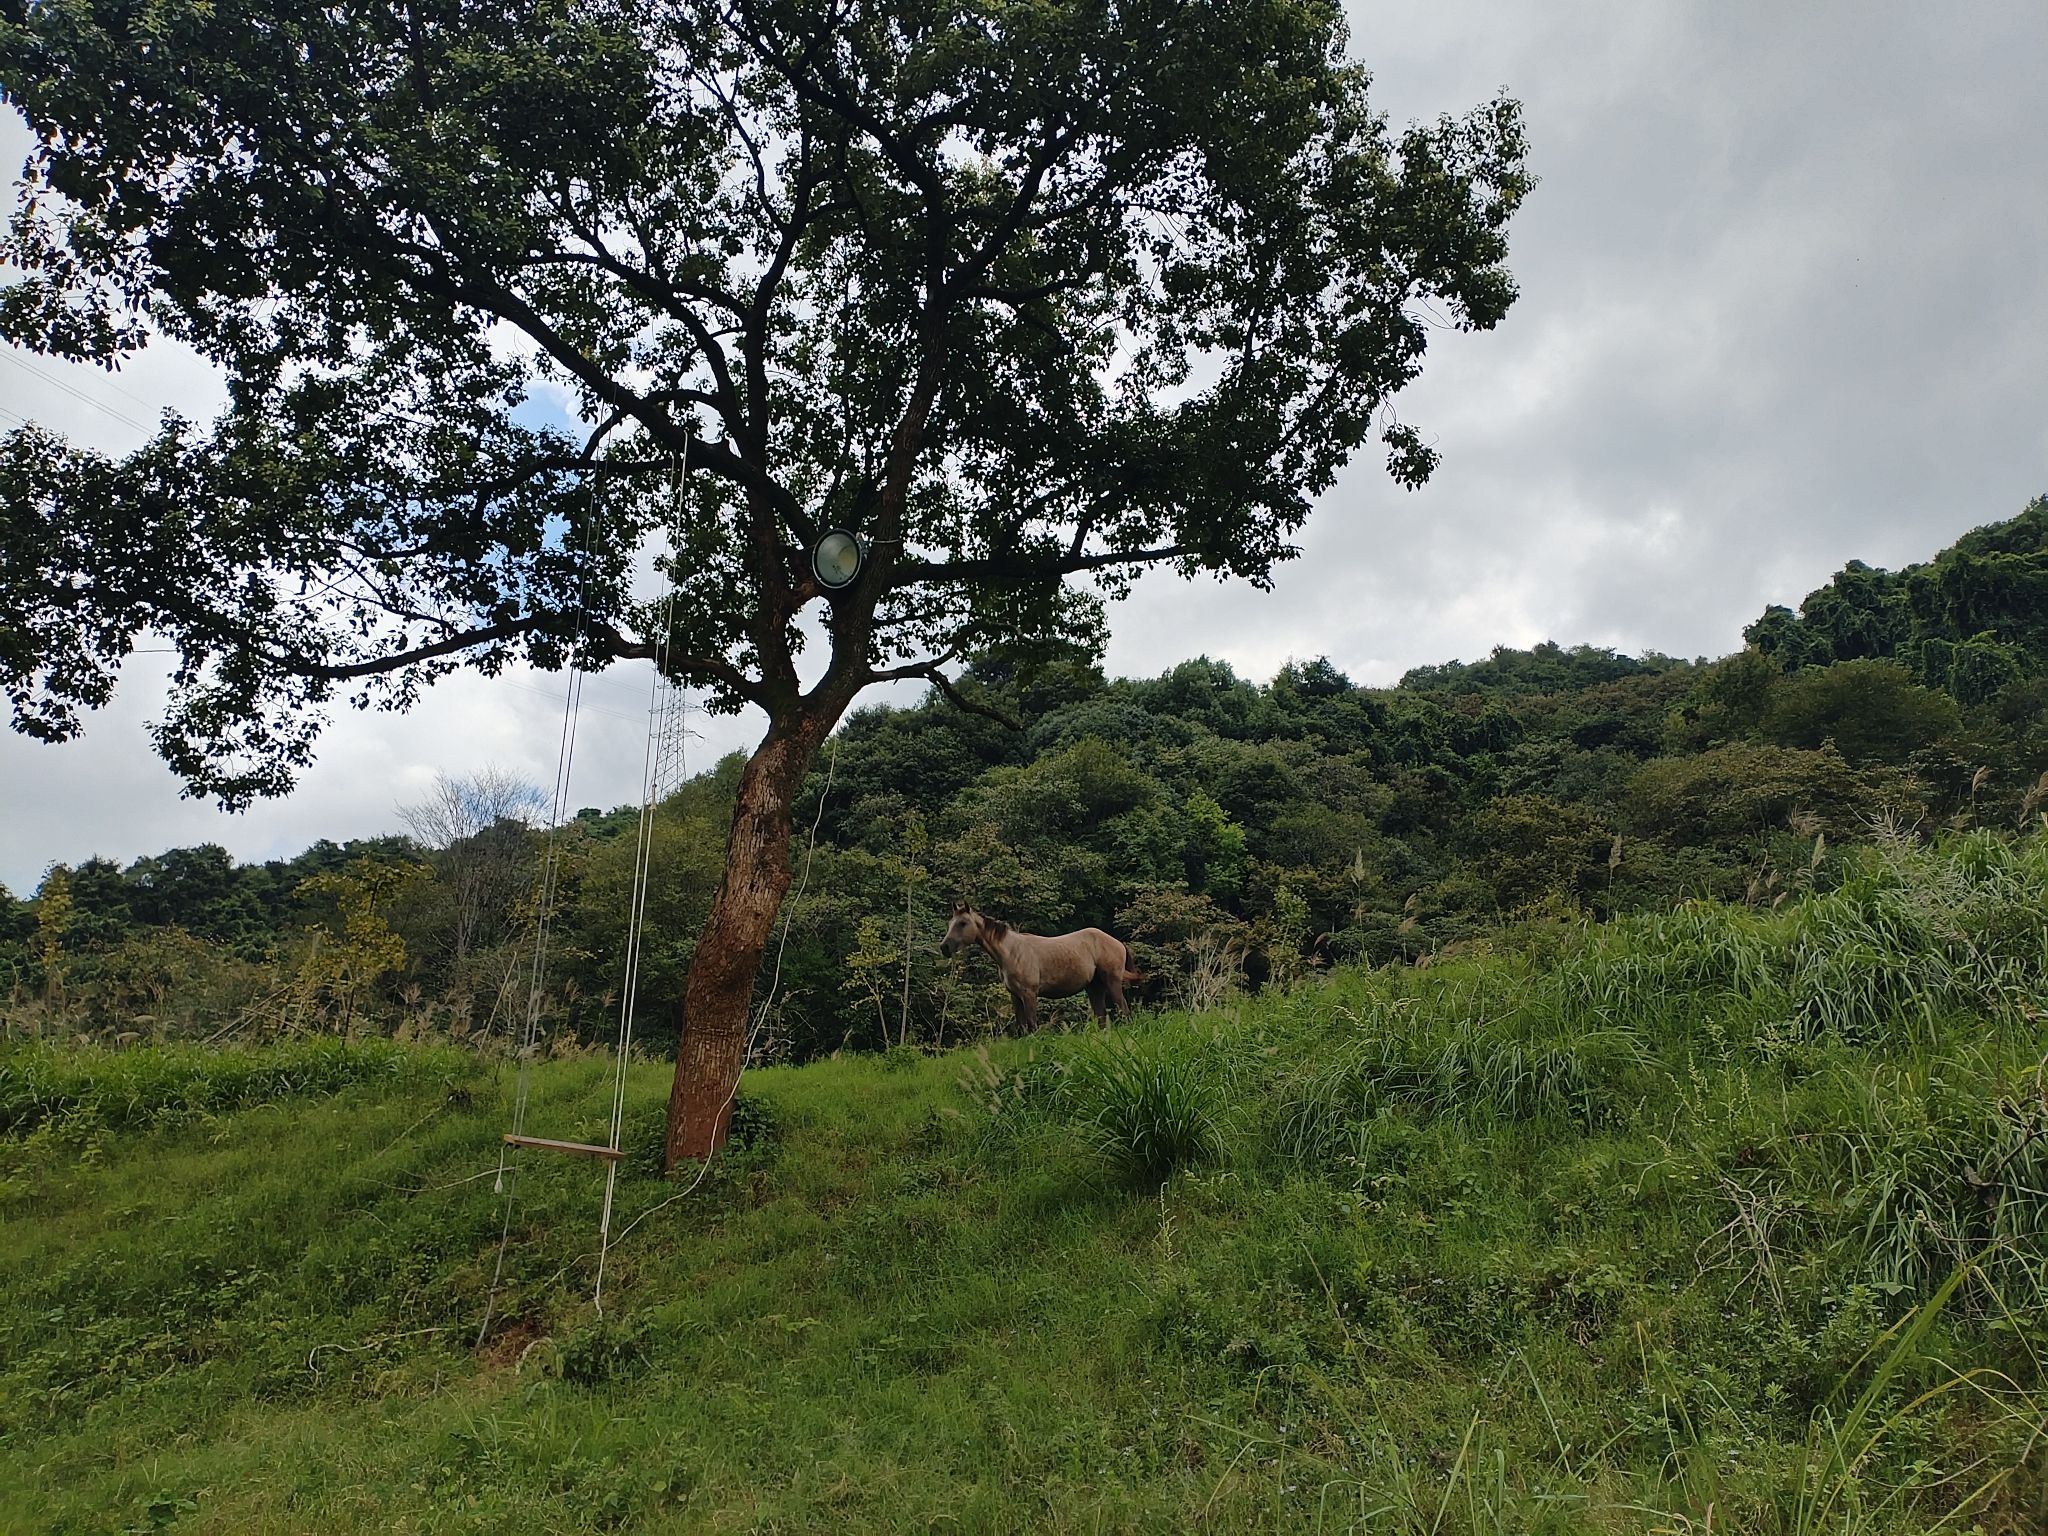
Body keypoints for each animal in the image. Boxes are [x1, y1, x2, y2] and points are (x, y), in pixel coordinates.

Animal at [940, 901, 1141, 1031]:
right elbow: (1022, 1028)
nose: (944, 947)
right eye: (950, 923)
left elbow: (1032, 1025)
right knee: (1102, 1018)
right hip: (1094, 988)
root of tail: (1118, 943)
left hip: (1112, 982)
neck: (1012, 951)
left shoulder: (1029, 994)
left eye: (963, 923)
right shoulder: (1015, 996)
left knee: (1124, 1010)